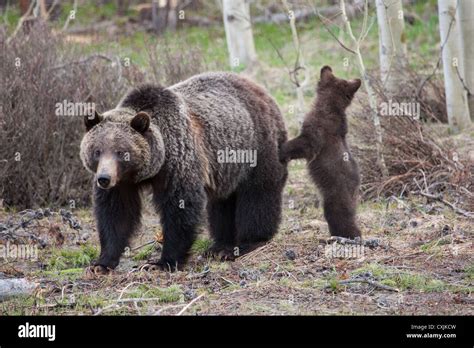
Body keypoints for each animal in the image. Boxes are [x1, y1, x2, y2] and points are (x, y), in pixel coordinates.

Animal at [79, 71, 286, 272]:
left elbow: (180, 207)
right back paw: (219, 246)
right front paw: (102, 263)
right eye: (97, 151)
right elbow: (116, 213)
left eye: (121, 152)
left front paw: (162, 262)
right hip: (226, 169)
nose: (104, 178)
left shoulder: (177, 164)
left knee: (258, 195)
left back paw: (247, 243)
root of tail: (259, 88)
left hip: (258, 147)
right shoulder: (122, 182)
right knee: (222, 203)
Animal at [280, 65, 362, 239]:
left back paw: (346, 235)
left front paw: (282, 149)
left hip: (335, 194)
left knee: (338, 215)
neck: (328, 105)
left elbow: (304, 145)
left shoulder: (317, 133)